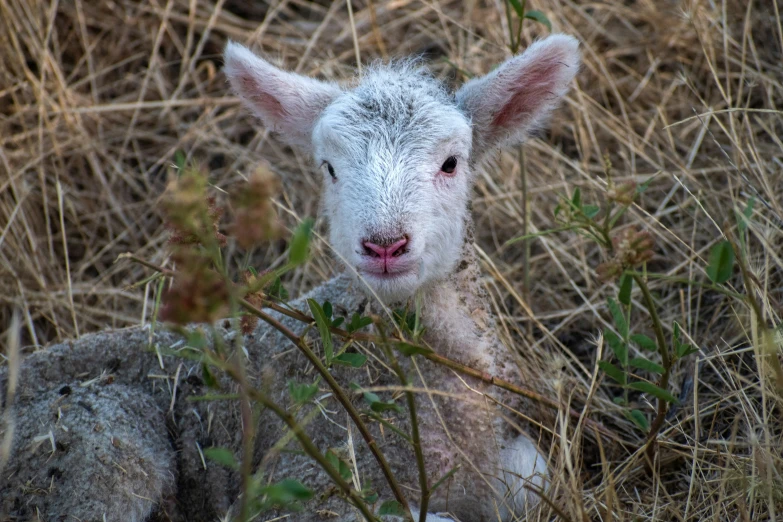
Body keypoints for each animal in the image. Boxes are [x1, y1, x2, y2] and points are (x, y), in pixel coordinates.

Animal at [1, 34, 580, 516]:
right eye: (329, 167)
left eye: (452, 164)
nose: (384, 245)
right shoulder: (302, 484)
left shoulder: (511, 467)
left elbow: (532, 479)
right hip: (101, 446)